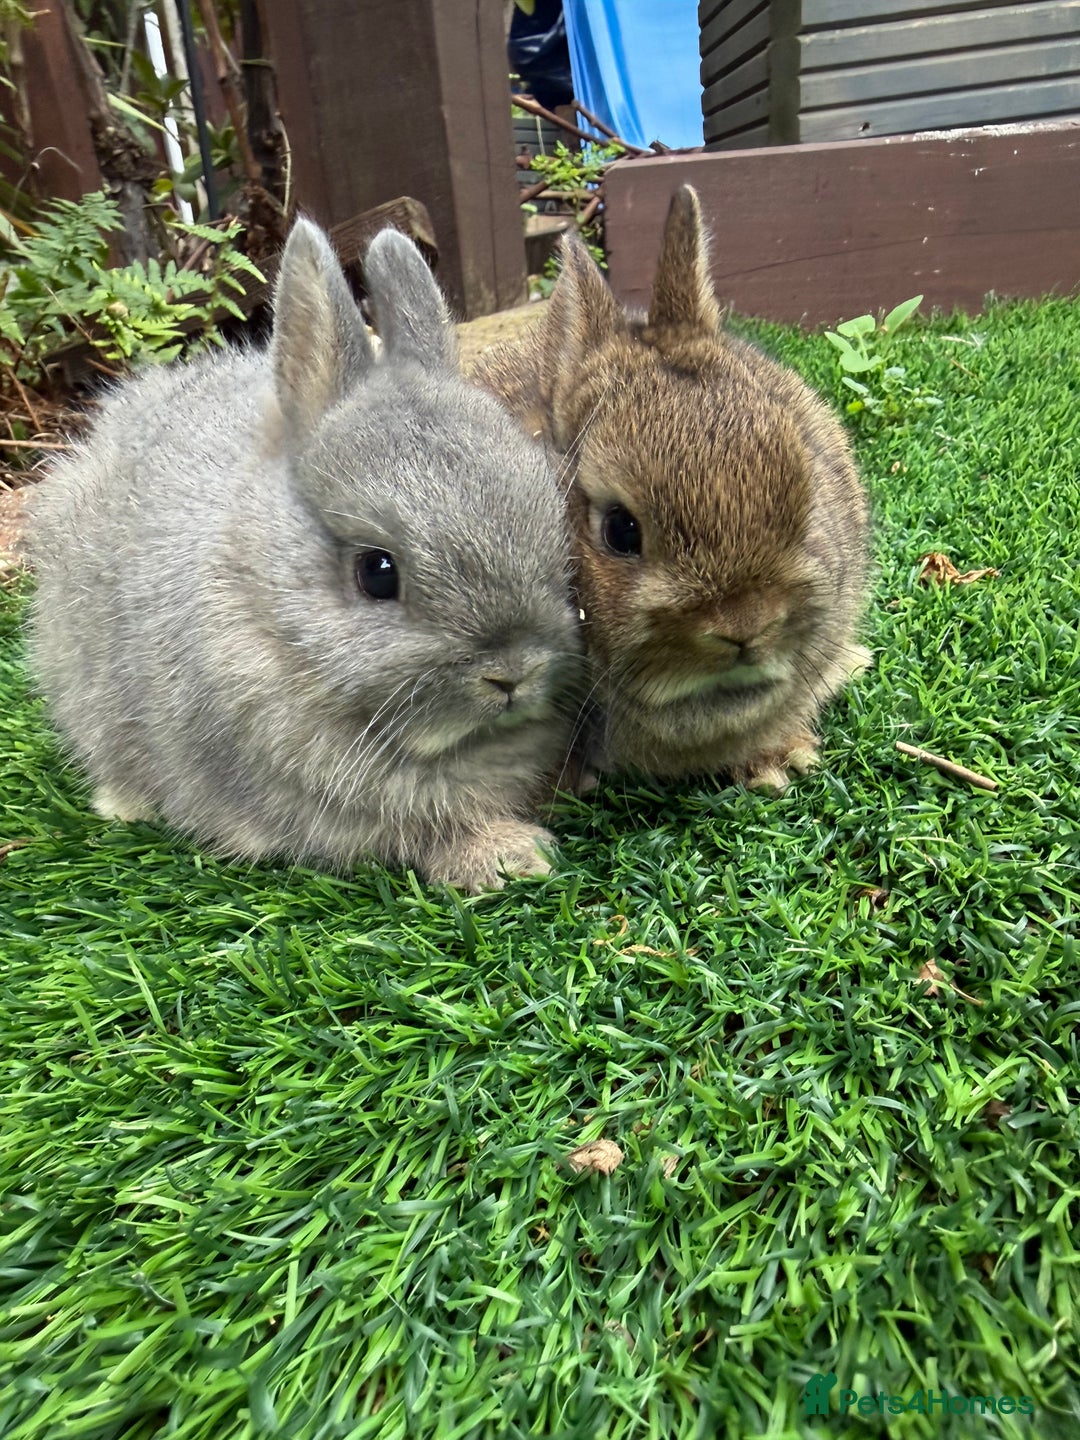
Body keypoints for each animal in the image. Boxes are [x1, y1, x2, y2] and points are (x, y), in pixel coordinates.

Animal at [27, 218, 581, 892]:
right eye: (377, 572)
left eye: (555, 529)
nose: (513, 671)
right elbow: (423, 832)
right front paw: (511, 858)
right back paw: (122, 803)